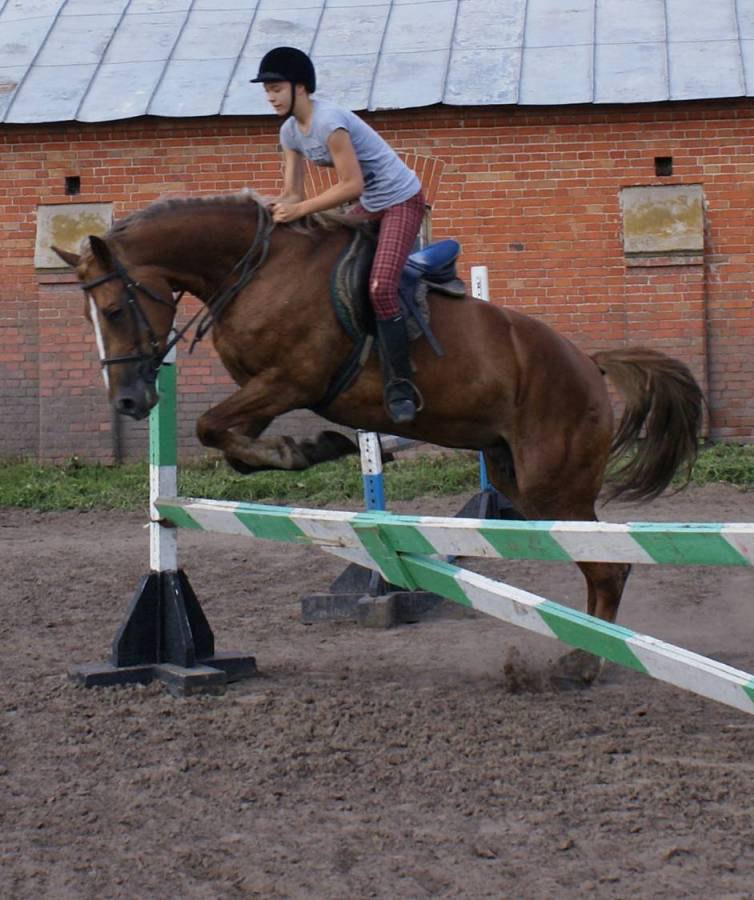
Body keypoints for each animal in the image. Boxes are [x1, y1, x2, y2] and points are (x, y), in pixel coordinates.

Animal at [51, 193, 700, 680]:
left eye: (113, 309)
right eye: (88, 314)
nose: (129, 402)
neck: (255, 269)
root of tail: (590, 363)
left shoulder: (291, 380)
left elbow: (209, 426)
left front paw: (310, 448)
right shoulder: (264, 393)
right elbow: (231, 443)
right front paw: (312, 448)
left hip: (553, 485)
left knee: (606, 565)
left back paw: (586, 662)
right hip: (513, 473)